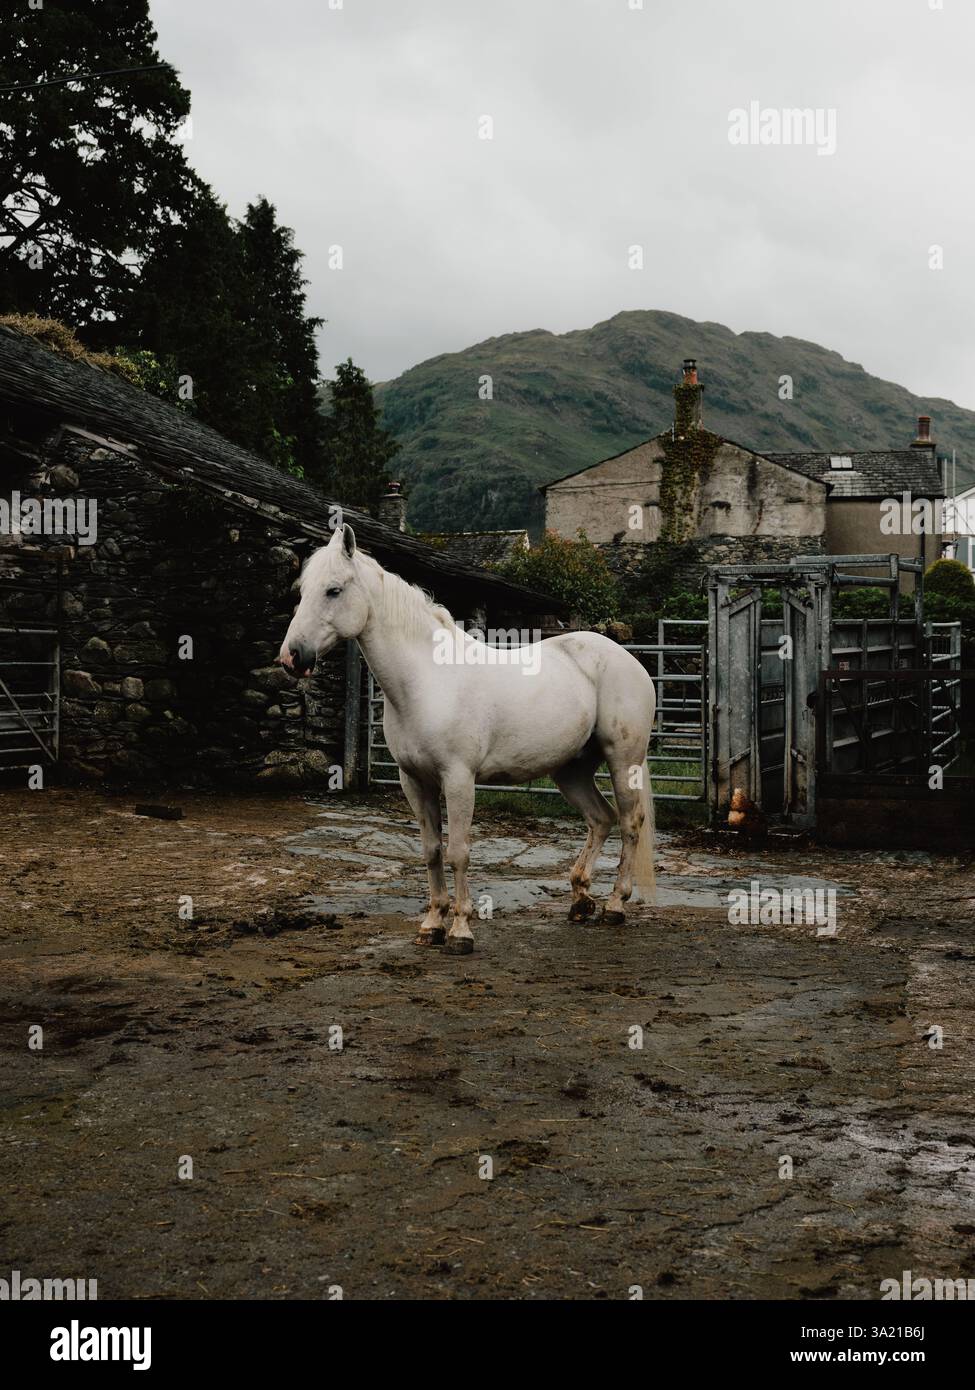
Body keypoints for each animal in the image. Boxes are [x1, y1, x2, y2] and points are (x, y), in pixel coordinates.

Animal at [279, 523, 656, 954]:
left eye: (333, 590)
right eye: (302, 590)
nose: (292, 656)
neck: (427, 680)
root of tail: (628, 660)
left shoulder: (459, 779)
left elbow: (458, 851)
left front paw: (460, 931)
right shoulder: (414, 781)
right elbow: (431, 851)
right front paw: (431, 925)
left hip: (623, 760)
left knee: (629, 822)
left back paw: (615, 905)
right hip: (571, 770)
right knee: (600, 819)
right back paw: (580, 901)